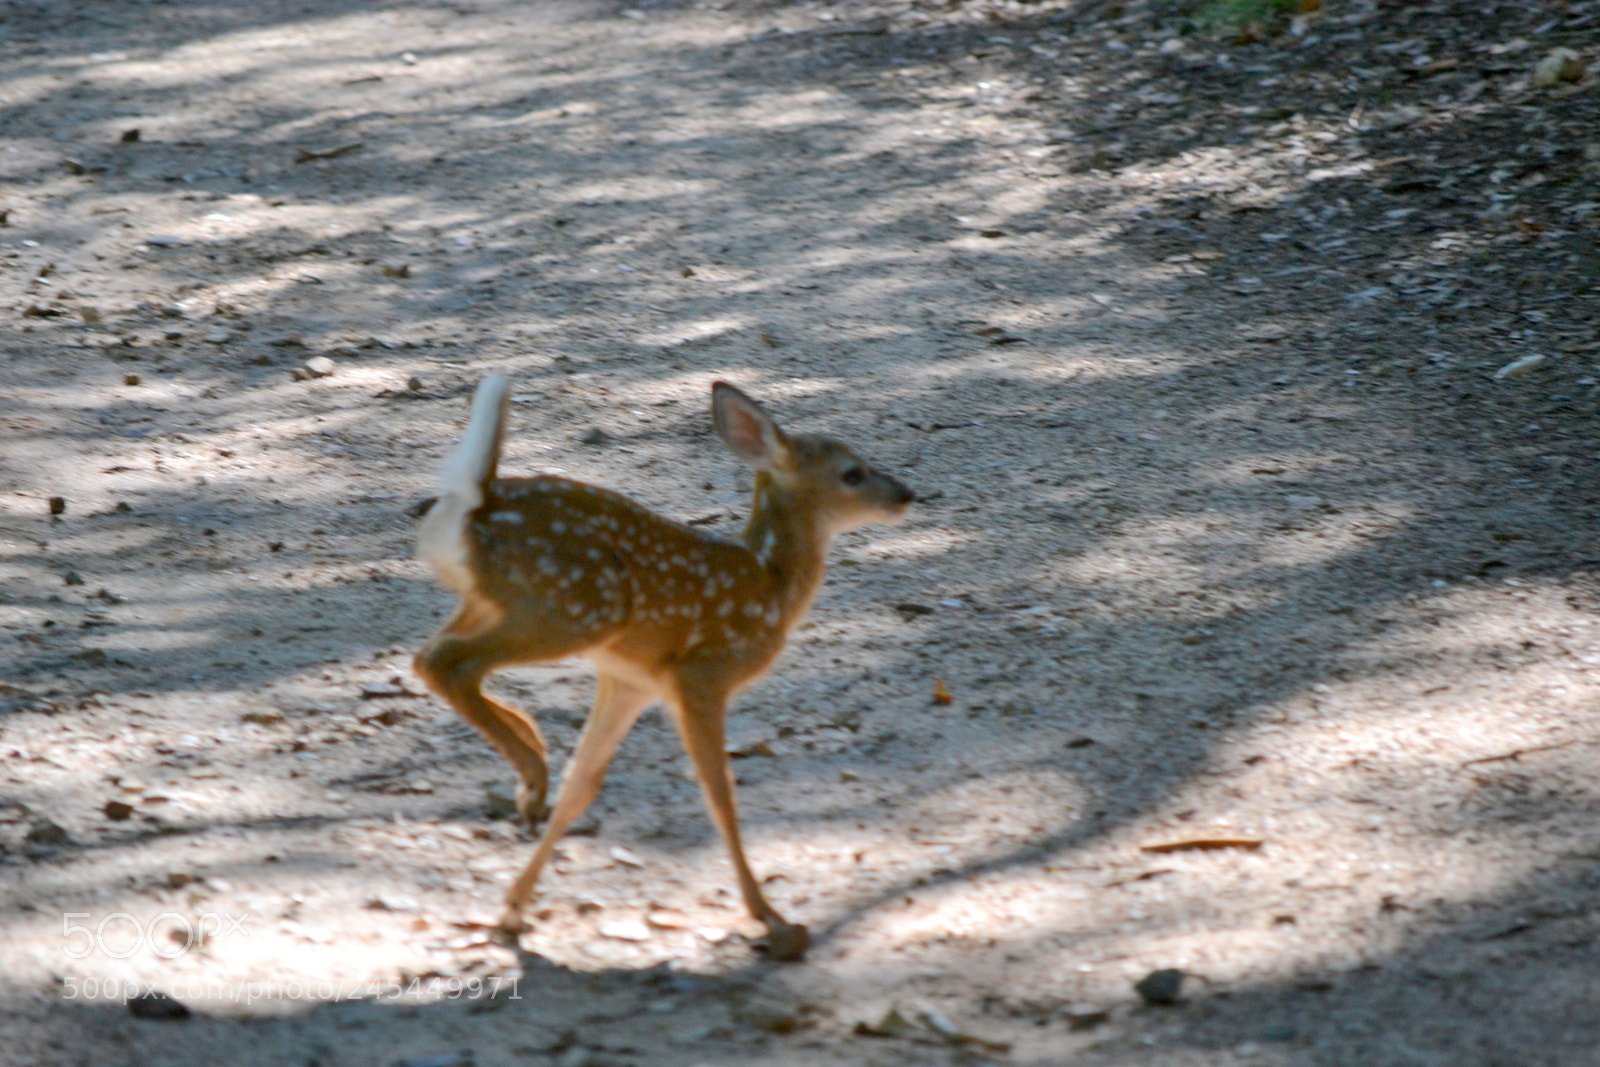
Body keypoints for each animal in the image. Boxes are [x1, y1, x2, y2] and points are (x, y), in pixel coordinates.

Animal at [412, 374, 914, 961]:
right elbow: (719, 793)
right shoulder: (703, 675)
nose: (906, 493)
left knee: (431, 656)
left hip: (494, 604)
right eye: (852, 472)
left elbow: (583, 786)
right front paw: (772, 919)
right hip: (574, 608)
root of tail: (474, 498)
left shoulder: (630, 680)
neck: (771, 587)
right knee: (447, 662)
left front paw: (512, 912)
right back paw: (532, 772)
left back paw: (529, 765)